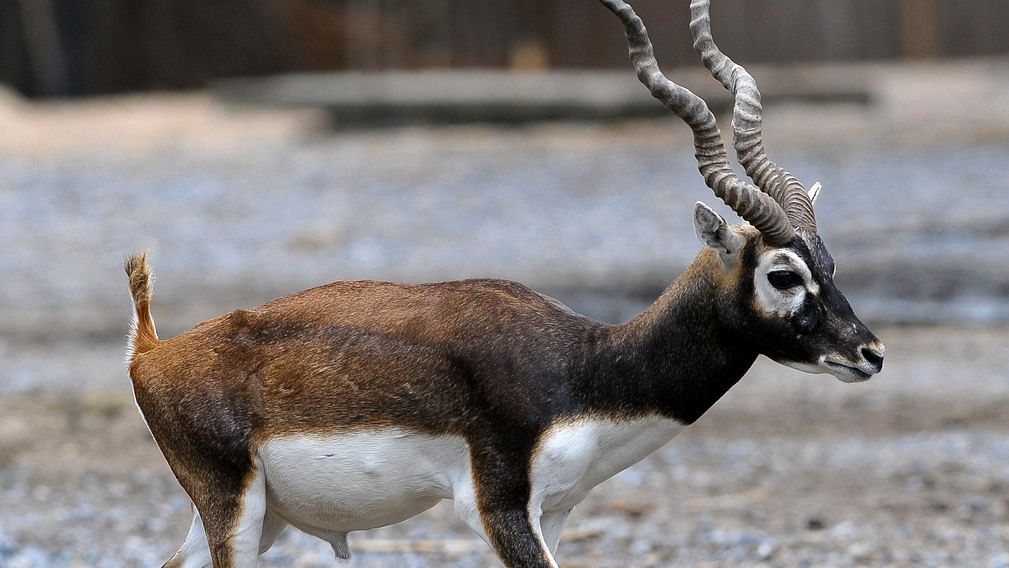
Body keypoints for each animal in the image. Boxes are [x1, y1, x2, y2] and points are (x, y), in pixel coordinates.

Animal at [124, 1, 883, 568]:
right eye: (782, 273)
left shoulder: (560, 508)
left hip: (260, 518)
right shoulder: (497, 507)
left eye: (830, 264)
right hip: (235, 508)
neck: (589, 367)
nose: (869, 352)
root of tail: (151, 351)